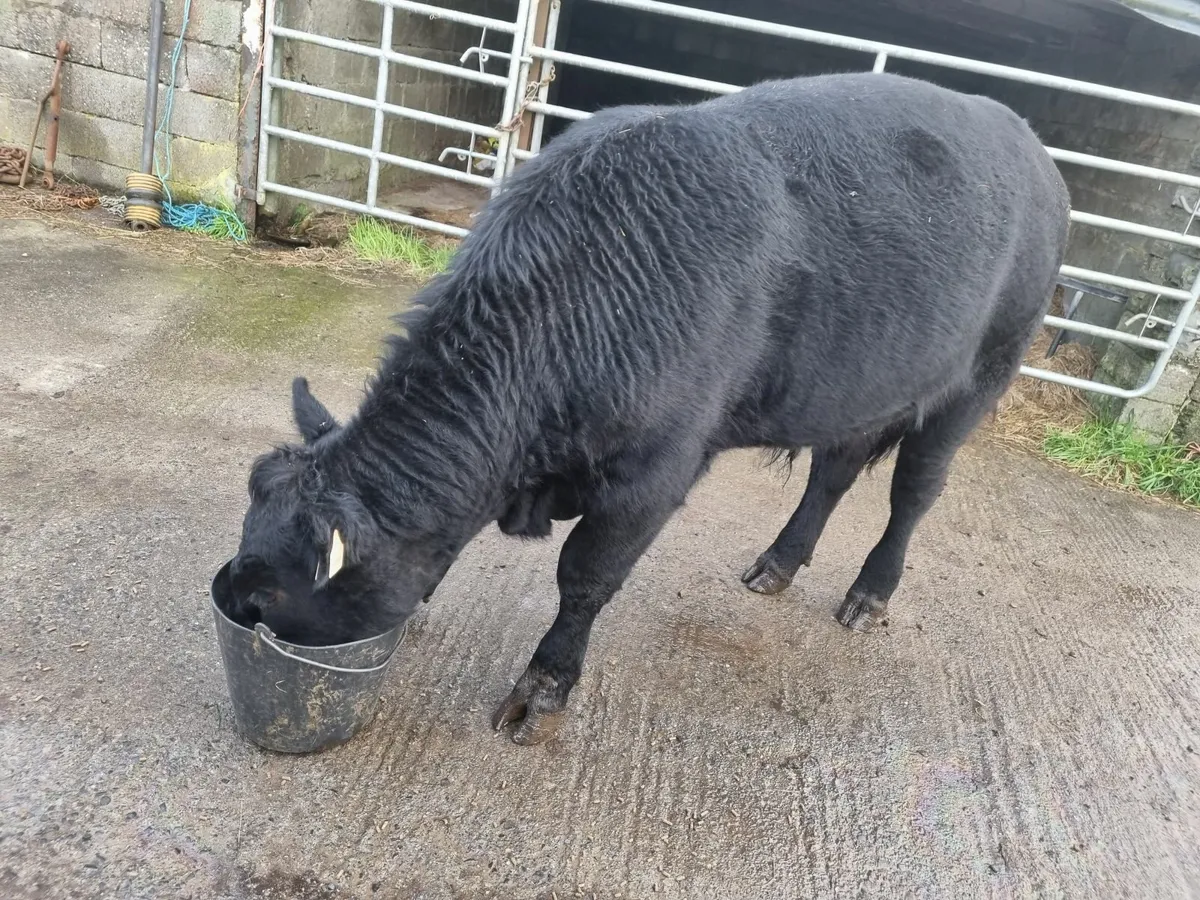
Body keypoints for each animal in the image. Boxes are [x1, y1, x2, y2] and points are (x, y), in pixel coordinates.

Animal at [223, 73, 1071, 744]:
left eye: (269, 597)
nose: (228, 597)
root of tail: (1026, 141)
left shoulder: (654, 475)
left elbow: (584, 579)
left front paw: (542, 693)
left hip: (981, 376)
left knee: (913, 492)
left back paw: (870, 594)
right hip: (861, 388)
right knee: (830, 475)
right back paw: (777, 564)